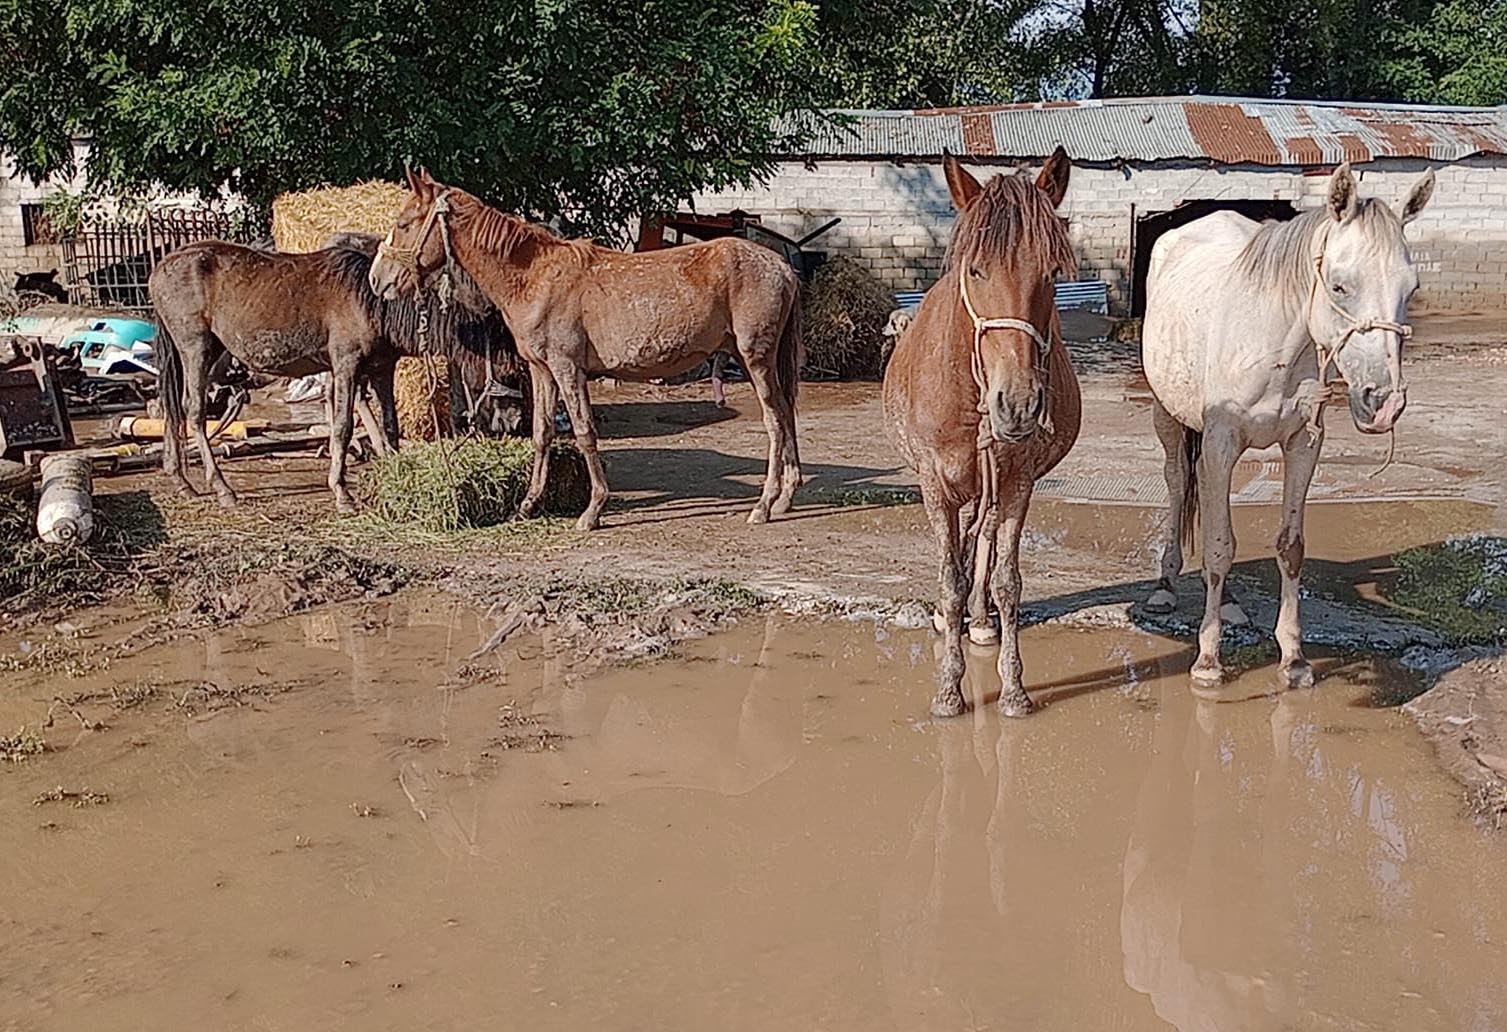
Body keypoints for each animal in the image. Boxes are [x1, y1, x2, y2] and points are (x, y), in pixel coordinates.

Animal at [370, 168, 807, 530]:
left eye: (404, 224)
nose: (377, 280)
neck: (534, 277)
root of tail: (783, 267)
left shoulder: (568, 369)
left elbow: (583, 432)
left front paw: (593, 509)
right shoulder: (541, 370)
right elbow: (542, 432)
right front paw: (526, 505)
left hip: (755, 359)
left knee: (775, 422)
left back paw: (764, 505)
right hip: (757, 360)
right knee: (786, 414)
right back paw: (786, 496)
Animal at [880, 149, 1085, 717]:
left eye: (1051, 272)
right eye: (976, 269)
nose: (1016, 404)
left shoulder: (1017, 481)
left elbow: (1007, 579)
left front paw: (1013, 688)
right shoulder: (935, 484)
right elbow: (950, 577)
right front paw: (949, 690)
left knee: (985, 539)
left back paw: (980, 621)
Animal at [1139, 162, 1434, 693]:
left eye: (1411, 289)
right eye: (1339, 286)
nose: (1383, 403)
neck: (1273, 341)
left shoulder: (1302, 445)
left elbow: (1288, 548)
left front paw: (1294, 659)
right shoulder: (1220, 443)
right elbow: (1218, 546)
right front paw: (1208, 661)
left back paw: (1229, 603)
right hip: (1167, 416)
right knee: (1176, 484)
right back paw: (1166, 585)